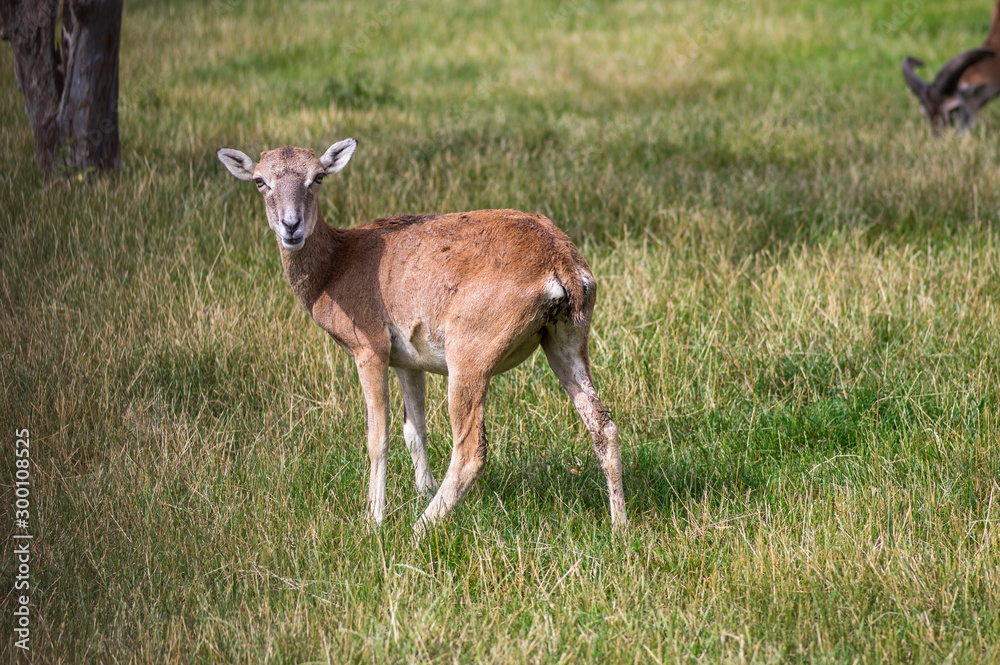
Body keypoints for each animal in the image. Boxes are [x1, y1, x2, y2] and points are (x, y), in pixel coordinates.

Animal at [217, 139, 627, 540]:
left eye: (317, 177)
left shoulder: (370, 348)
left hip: (469, 355)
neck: (335, 269)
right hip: (566, 340)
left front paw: (374, 520)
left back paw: (418, 531)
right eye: (260, 181)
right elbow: (414, 430)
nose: (291, 226)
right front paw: (422, 489)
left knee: (472, 448)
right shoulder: (407, 361)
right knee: (603, 425)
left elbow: (378, 436)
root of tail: (562, 263)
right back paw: (619, 528)